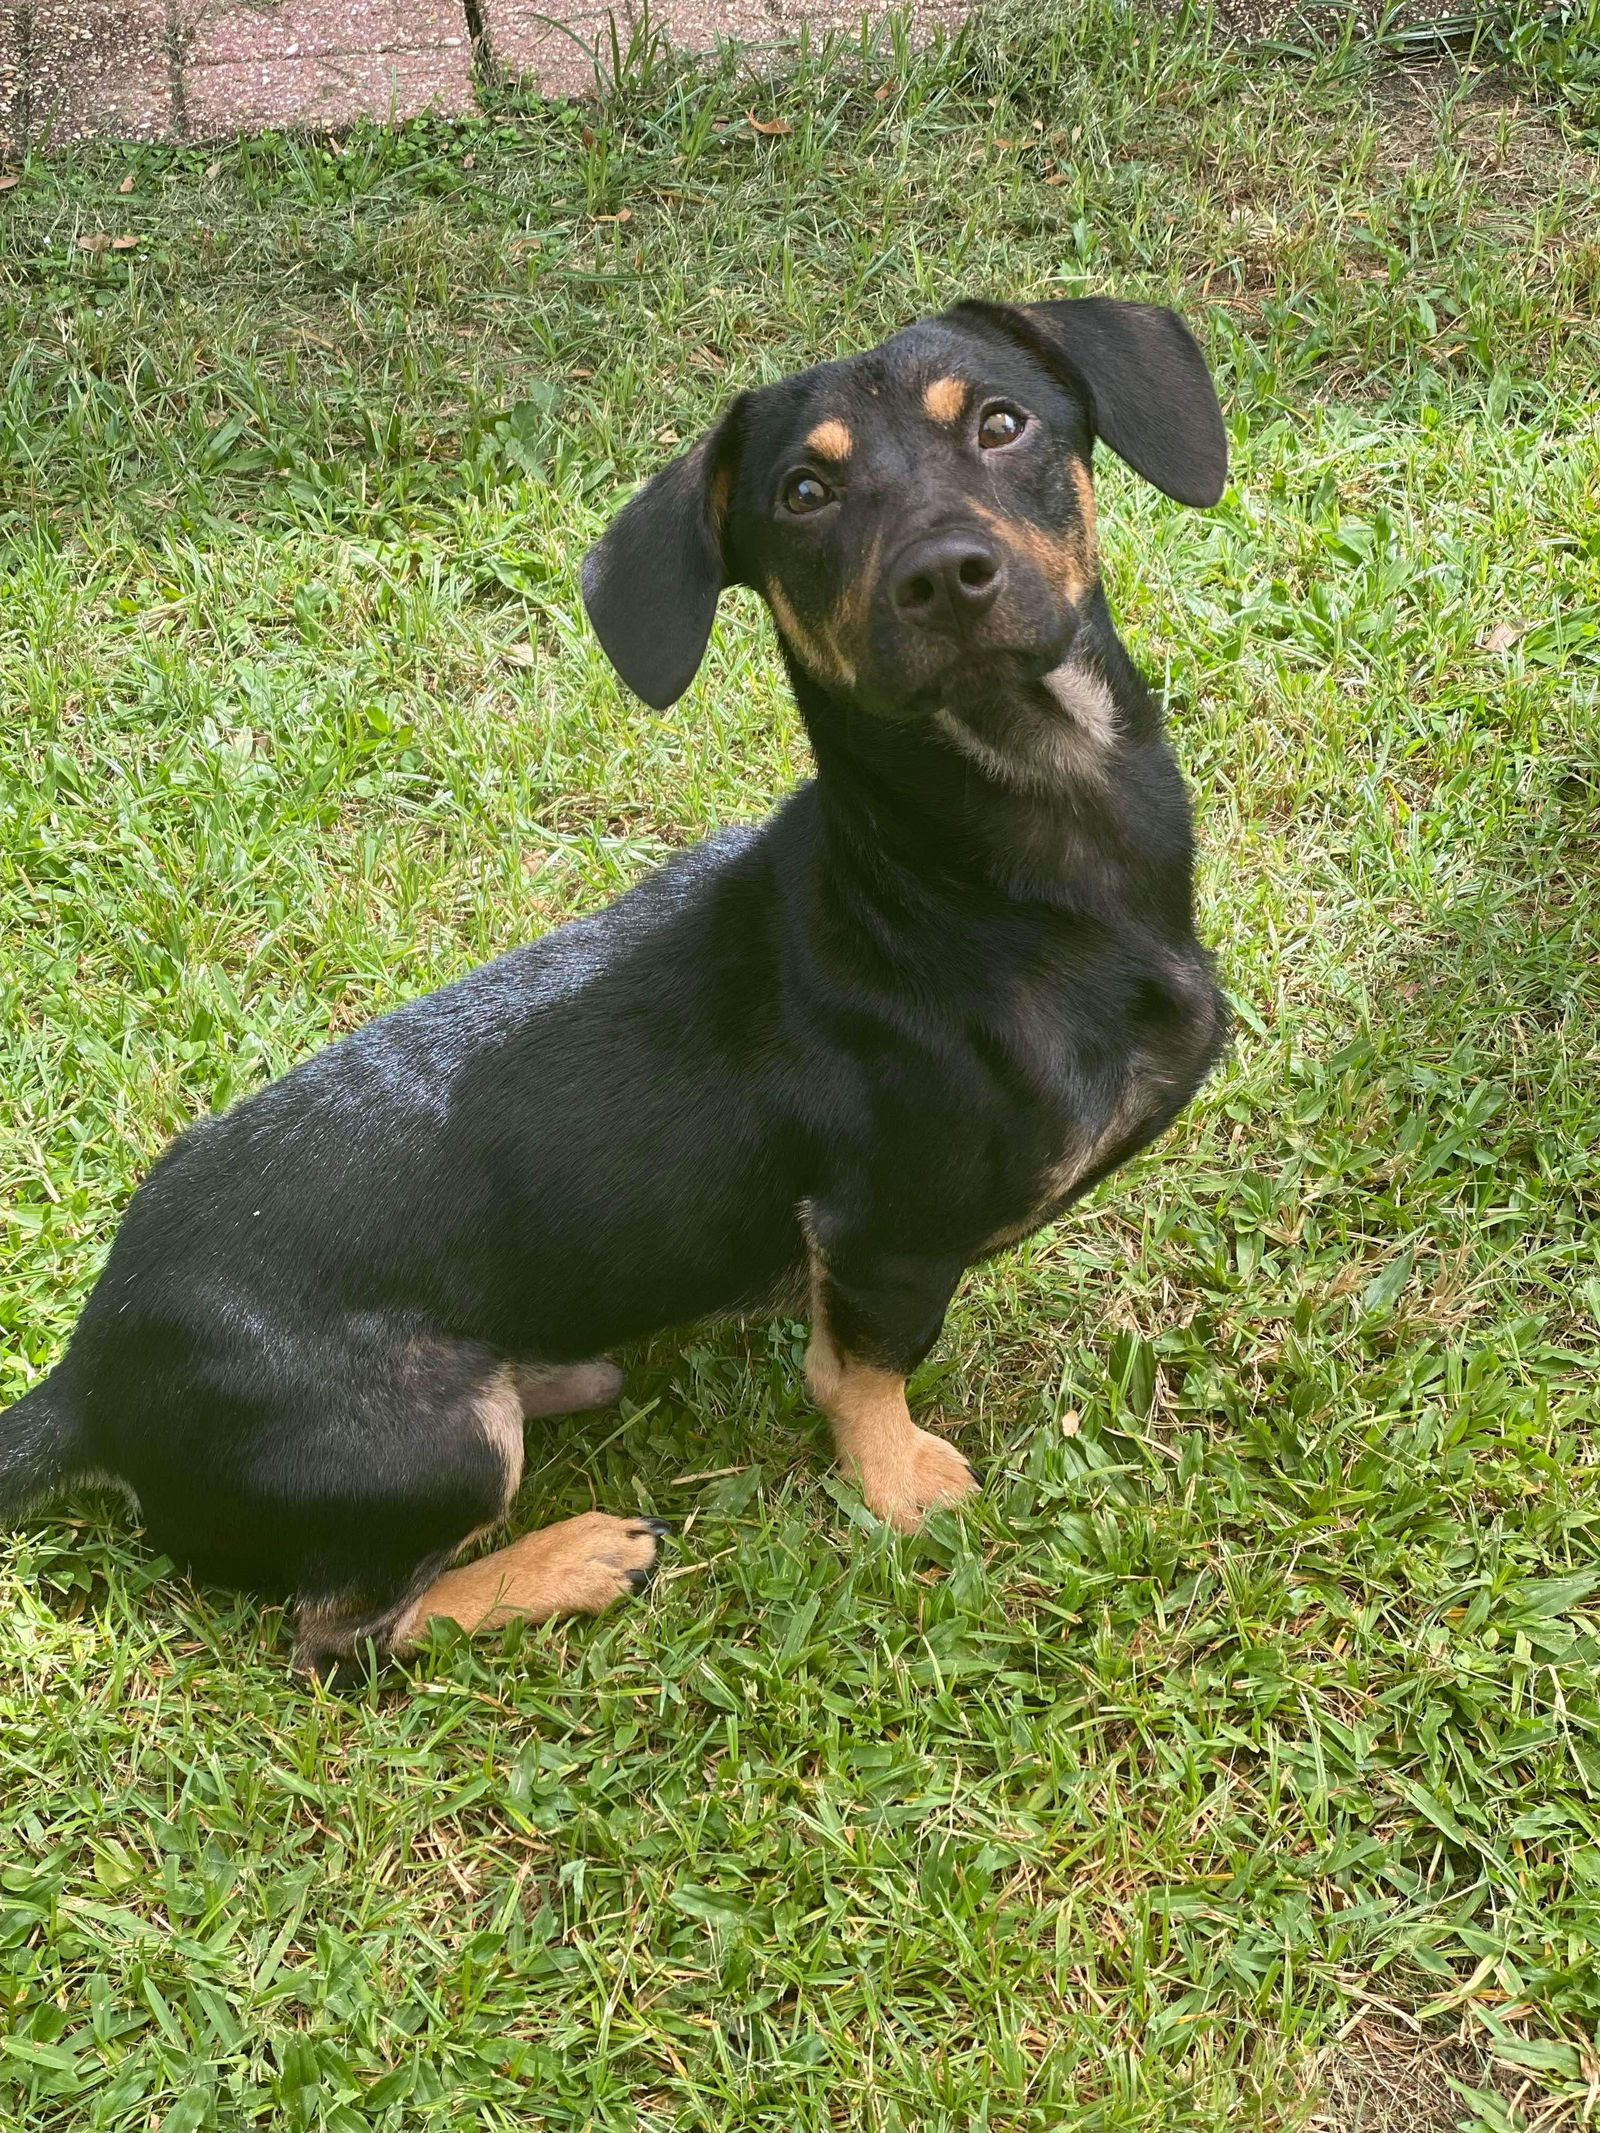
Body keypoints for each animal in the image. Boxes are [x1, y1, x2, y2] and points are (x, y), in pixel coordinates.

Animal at [0, 296, 1237, 1680]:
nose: (943, 575)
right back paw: (573, 1559)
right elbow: (860, 1373)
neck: (979, 880)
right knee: (347, 1637)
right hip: (439, 1436)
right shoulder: (882, 1233)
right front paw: (900, 1481)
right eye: (803, 493)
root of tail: (88, 1382)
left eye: (1002, 421)